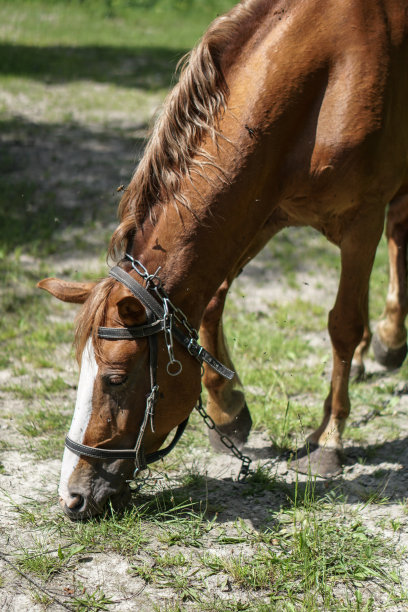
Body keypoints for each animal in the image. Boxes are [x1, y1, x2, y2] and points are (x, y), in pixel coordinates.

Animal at [38, 0, 408, 520]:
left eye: (115, 378)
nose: (71, 497)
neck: (324, 74)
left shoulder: (361, 221)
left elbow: (343, 324)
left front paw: (328, 441)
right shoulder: (259, 211)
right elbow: (211, 303)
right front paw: (229, 412)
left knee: (397, 237)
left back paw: (391, 339)